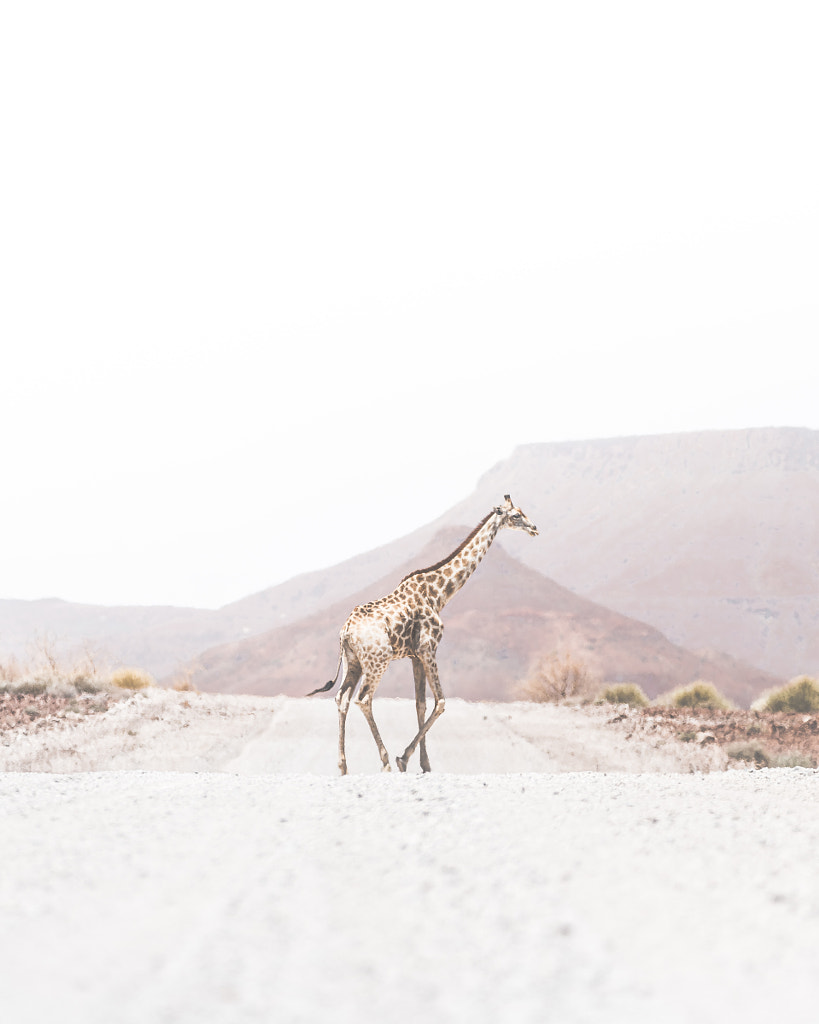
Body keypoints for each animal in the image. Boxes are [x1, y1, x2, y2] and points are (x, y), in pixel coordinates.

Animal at [307, 497, 536, 774]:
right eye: (516, 515)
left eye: (522, 512)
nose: (534, 528)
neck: (439, 594)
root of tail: (345, 631)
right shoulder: (429, 648)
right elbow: (440, 702)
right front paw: (403, 759)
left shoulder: (415, 656)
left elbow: (421, 704)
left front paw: (424, 764)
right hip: (377, 661)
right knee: (363, 699)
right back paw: (385, 761)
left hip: (354, 662)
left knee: (342, 698)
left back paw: (342, 766)